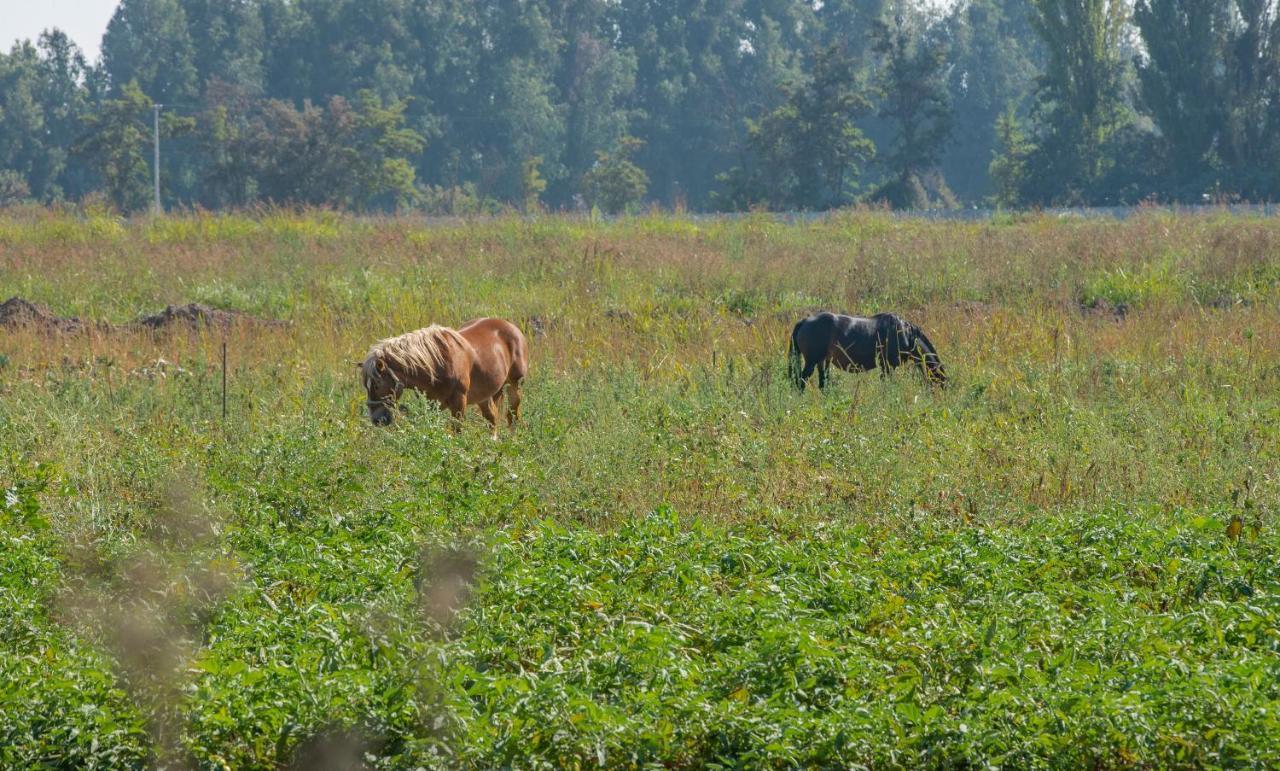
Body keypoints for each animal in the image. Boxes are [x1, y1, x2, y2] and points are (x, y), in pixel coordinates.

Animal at [358, 313, 527, 432]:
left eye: (377, 385)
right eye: (366, 386)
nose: (376, 420)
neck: (436, 364)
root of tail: (511, 327)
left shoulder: (459, 402)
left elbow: (457, 430)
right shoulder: (432, 403)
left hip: (515, 386)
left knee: (512, 416)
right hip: (484, 394)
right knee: (492, 418)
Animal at [783, 308, 947, 386]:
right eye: (941, 383)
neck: (906, 334)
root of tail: (804, 321)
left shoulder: (885, 366)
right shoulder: (888, 365)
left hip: (822, 361)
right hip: (811, 362)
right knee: (800, 382)